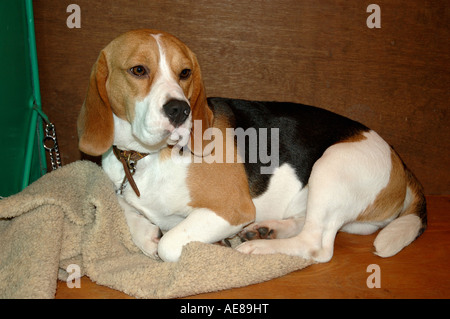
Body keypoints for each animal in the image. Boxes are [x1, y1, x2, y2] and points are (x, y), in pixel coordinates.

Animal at [79, 30, 428, 264]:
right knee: (305, 224)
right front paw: (146, 232)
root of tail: (398, 159)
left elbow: (170, 244)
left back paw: (258, 247)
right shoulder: (119, 189)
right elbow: (125, 208)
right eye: (138, 70)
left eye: (185, 73)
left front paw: (207, 245)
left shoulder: (234, 208)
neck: (145, 157)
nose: (180, 110)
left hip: (332, 162)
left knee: (317, 245)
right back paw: (266, 230)